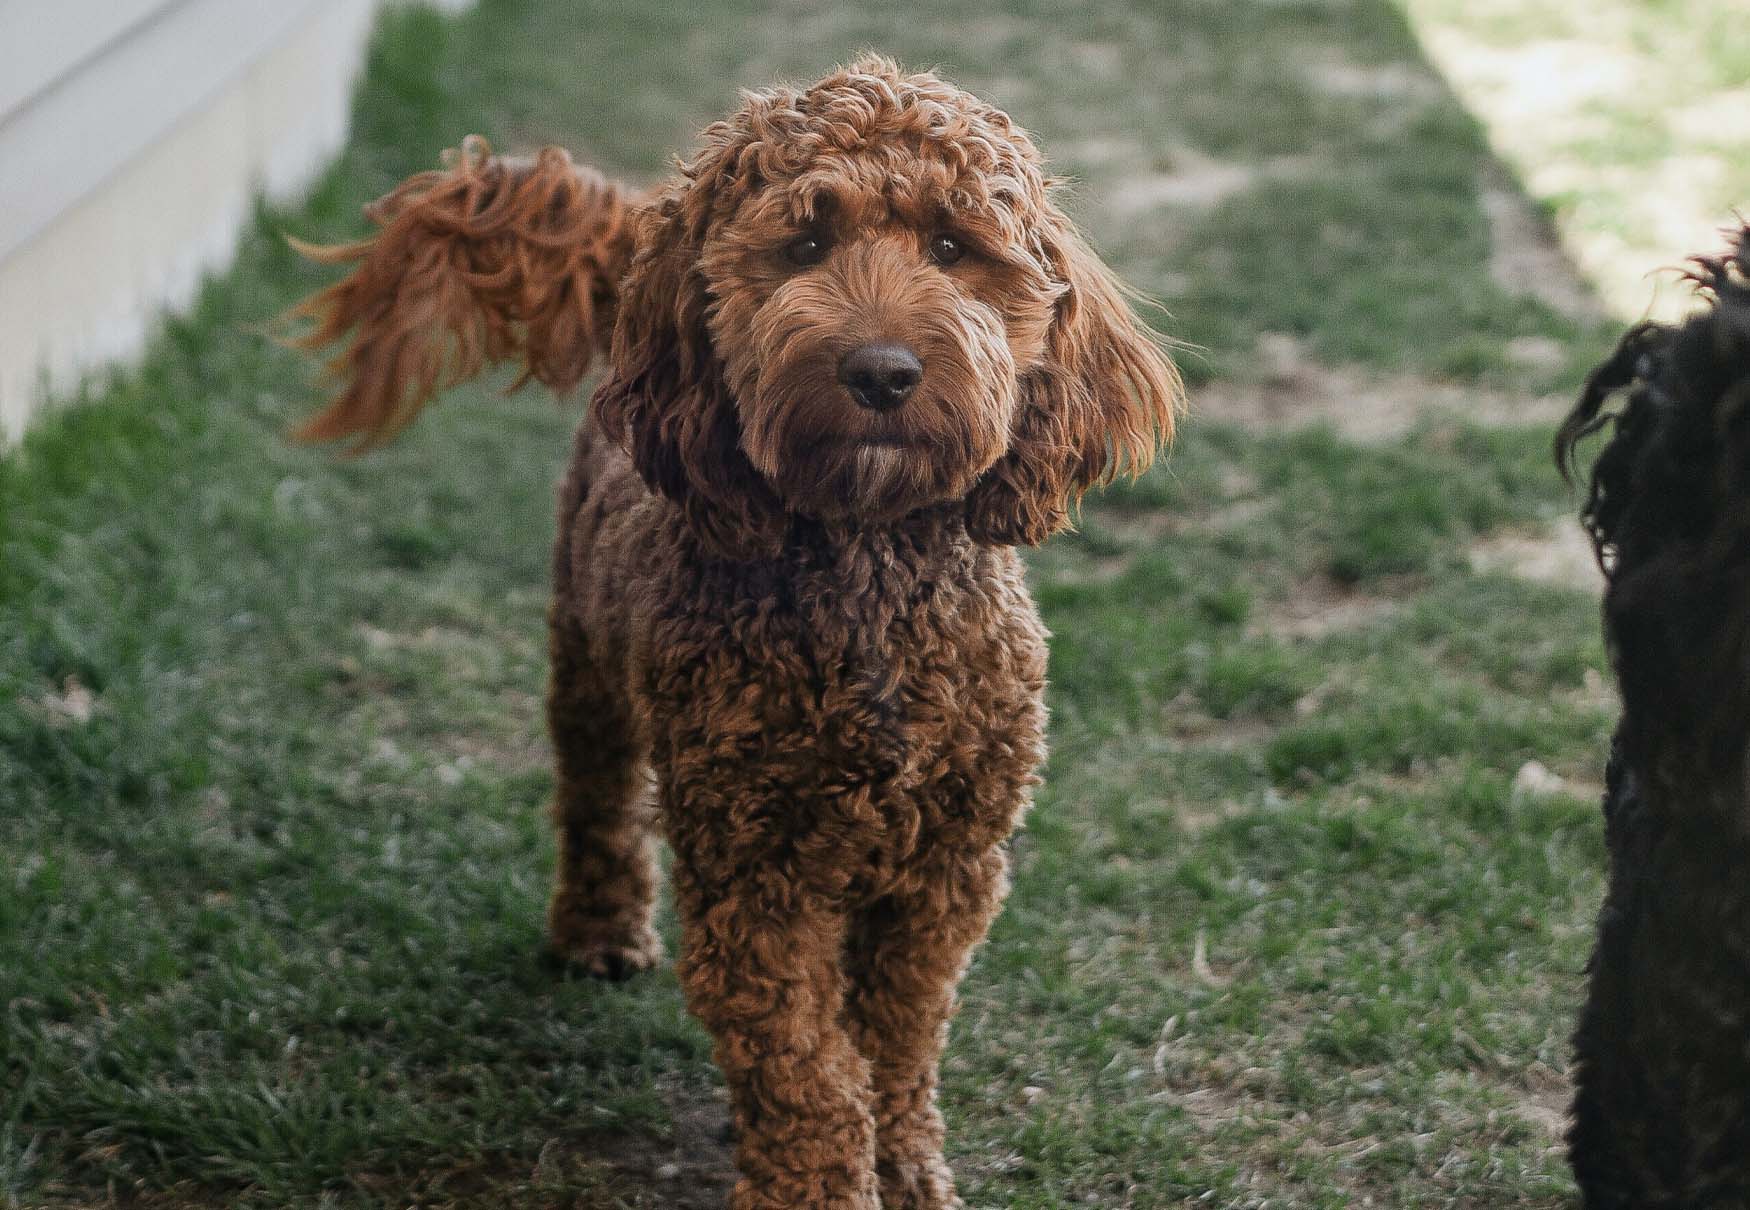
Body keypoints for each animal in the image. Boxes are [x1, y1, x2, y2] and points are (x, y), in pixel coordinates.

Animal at [294, 54, 1183, 1210]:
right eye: (803, 245)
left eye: (953, 246)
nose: (882, 371)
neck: (866, 580)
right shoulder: (753, 872)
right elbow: (803, 1065)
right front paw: (818, 1183)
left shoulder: (946, 870)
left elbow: (896, 1040)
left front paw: (906, 1165)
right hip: (586, 660)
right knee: (595, 799)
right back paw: (597, 929)